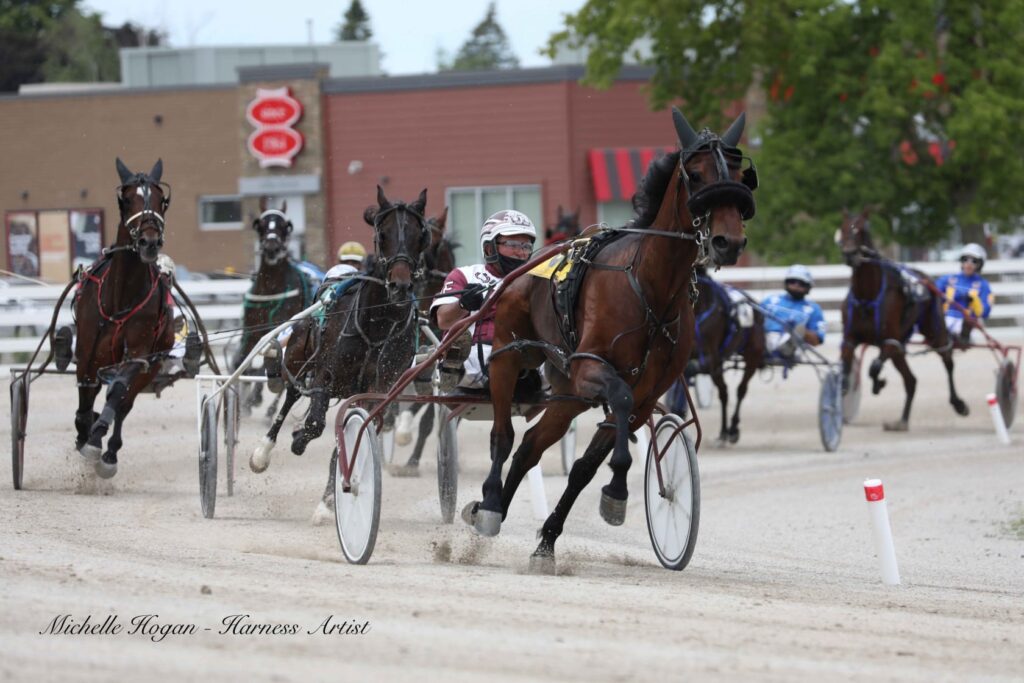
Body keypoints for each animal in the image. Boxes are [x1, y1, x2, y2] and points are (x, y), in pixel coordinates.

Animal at [75, 157, 178, 479]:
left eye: (160, 199)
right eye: (128, 198)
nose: (149, 242)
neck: (121, 296)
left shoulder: (139, 352)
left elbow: (118, 392)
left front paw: (97, 438)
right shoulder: (87, 350)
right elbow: (86, 396)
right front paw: (84, 432)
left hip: (153, 364)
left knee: (123, 401)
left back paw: (108, 451)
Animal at [232, 196, 315, 411]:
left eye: (286, 226)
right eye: (259, 224)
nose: (271, 247)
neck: (271, 289)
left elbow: (270, 361)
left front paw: (255, 397)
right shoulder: (250, 332)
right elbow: (241, 360)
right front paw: (243, 402)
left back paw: (269, 409)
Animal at [249, 184, 430, 509]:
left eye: (419, 235)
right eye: (382, 233)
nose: (400, 286)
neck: (376, 325)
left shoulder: (379, 389)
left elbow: (350, 436)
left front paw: (328, 501)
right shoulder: (325, 374)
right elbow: (314, 424)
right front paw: (297, 438)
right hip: (298, 357)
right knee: (291, 394)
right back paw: (263, 451)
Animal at [460, 111, 757, 573]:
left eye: (742, 176)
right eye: (694, 174)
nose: (729, 242)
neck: (651, 289)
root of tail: (520, 269)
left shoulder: (645, 394)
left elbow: (586, 466)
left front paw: (548, 541)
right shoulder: (592, 367)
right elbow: (616, 400)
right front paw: (617, 490)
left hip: (567, 392)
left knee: (529, 446)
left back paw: (498, 510)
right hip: (509, 356)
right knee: (503, 435)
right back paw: (490, 505)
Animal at [835, 209, 962, 432]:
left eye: (861, 230)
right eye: (843, 229)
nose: (850, 254)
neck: (867, 296)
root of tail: (925, 277)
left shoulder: (890, 341)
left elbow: (874, 367)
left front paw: (878, 384)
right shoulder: (850, 339)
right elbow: (846, 374)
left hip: (934, 331)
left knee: (947, 361)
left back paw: (958, 403)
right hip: (900, 348)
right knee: (911, 381)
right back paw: (901, 421)